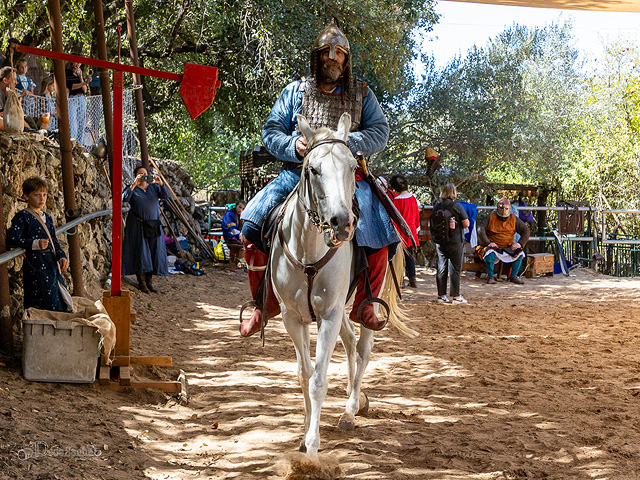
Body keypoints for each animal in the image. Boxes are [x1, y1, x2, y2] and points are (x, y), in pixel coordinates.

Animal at [268, 110, 416, 460]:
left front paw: (312, 446)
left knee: (362, 348)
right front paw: (303, 432)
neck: (309, 249)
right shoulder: (292, 318)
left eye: (351, 165)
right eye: (312, 169)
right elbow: (304, 374)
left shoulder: (329, 316)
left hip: (366, 301)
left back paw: (350, 409)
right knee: (349, 341)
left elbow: (319, 379)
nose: (342, 222)